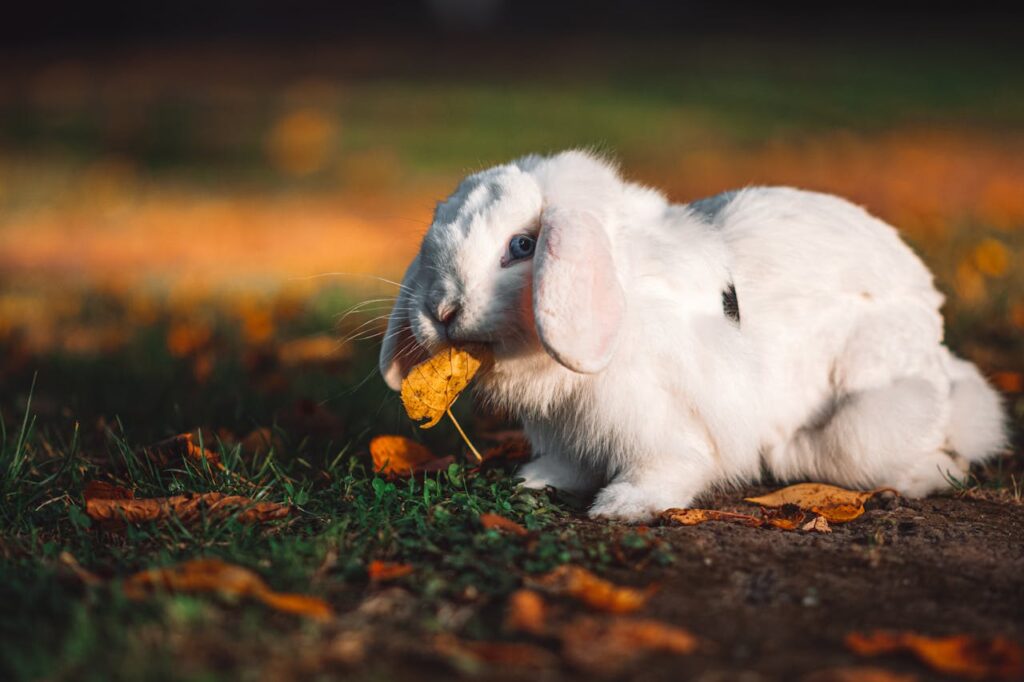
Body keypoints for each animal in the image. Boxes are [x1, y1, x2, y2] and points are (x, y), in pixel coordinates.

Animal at [378, 150, 1007, 520]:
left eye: (522, 246)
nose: (441, 310)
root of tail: (936, 348)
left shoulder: (661, 418)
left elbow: (666, 466)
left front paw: (624, 506)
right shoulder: (567, 426)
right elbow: (568, 461)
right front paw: (539, 482)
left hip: (869, 418)